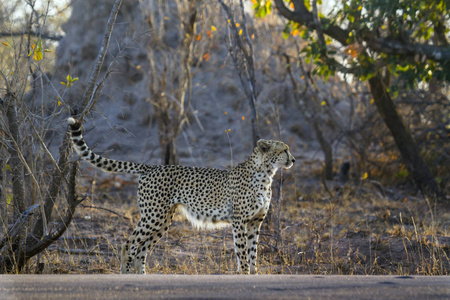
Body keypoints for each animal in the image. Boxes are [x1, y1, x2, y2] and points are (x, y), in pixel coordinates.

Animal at [67, 117, 296, 274]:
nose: (293, 160)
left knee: (142, 250)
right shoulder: (239, 221)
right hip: (153, 217)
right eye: (284, 150)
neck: (266, 174)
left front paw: (254, 274)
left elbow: (253, 252)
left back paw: (142, 278)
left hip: (163, 220)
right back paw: (124, 276)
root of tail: (152, 167)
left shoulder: (255, 222)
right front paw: (244, 274)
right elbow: (242, 252)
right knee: (128, 245)